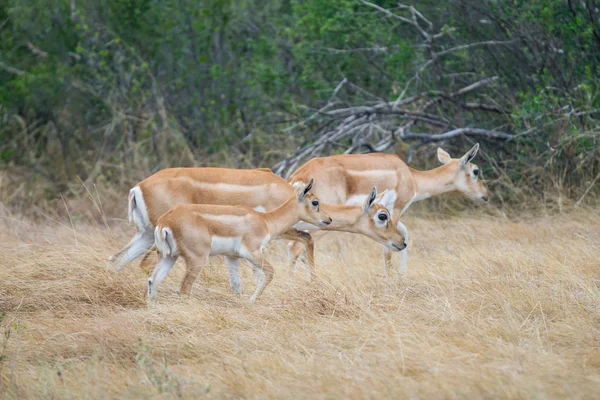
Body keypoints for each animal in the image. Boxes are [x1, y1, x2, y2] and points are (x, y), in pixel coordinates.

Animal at [147, 179, 330, 304]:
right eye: (315, 202)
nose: (328, 219)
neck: (265, 221)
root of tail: (166, 221)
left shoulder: (232, 257)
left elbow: (236, 285)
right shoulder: (252, 253)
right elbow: (270, 272)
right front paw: (251, 301)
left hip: (168, 257)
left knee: (152, 282)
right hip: (196, 260)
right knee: (183, 289)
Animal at [288, 142, 490, 276]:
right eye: (476, 171)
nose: (485, 194)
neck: (411, 177)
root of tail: (299, 175)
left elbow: (405, 235)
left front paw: (402, 275)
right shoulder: (396, 209)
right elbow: (390, 246)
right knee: (297, 247)